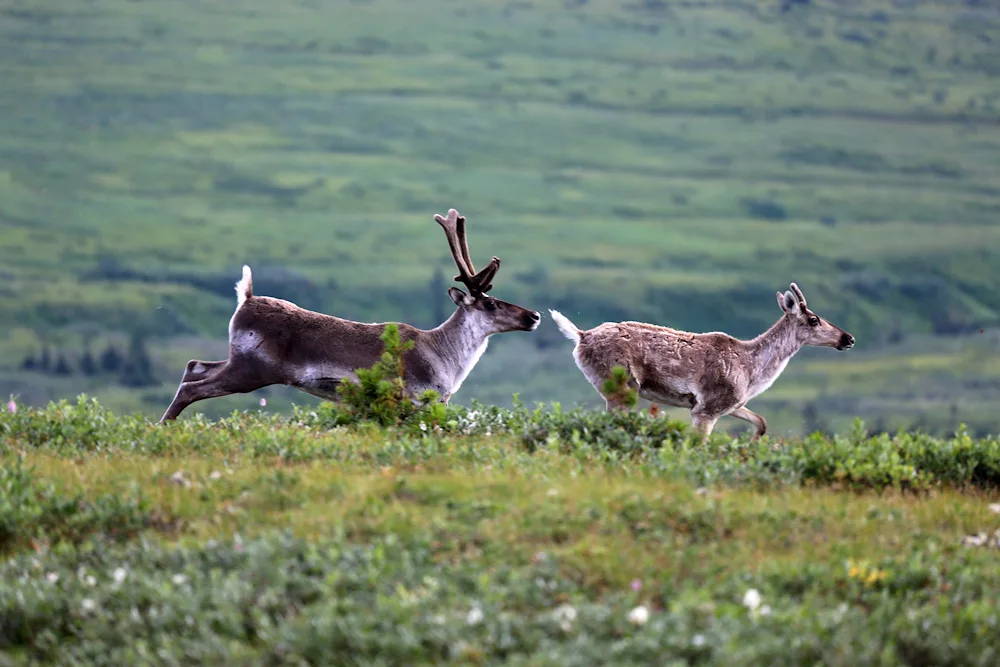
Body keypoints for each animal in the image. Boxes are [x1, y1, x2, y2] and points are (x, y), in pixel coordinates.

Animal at [157, 209, 544, 422]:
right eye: (491, 304)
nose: (535, 315)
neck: (445, 355)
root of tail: (245, 299)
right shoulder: (418, 398)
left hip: (238, 361)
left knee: (194, 365)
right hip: (253, 369)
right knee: (193, 386)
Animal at [552, 284, 856, 444]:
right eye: (814, 319)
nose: (849, 338)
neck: (752, 369)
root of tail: (580, 336)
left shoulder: (732, 405)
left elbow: (762, 422)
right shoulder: (706, 408)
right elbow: (700, 444)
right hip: (623, 387)